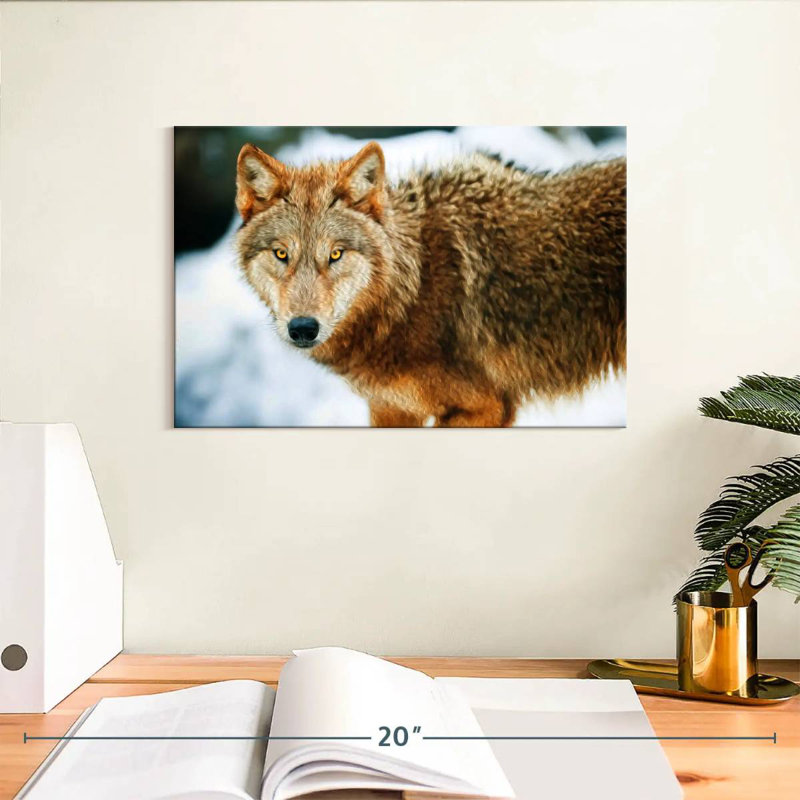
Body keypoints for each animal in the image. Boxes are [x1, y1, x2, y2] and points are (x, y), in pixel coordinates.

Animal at [235, 141, 626, 427]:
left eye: (335, 254)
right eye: (282, 254)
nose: (303, 328)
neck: (413, 288)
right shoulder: (390, 408)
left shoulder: (487, 407)